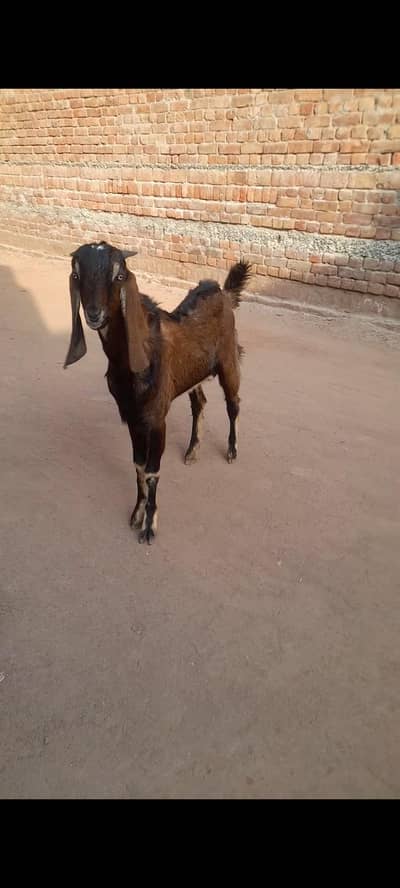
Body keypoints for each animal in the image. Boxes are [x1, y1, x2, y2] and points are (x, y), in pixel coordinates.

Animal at [64, 241, 251, 544]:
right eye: (77, 275)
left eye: (118, 275)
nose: (94, 313)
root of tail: (223, 292)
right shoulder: (132, 416)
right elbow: (138, 466)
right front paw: (136, 514)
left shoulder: (156, 418)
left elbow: (152, 471)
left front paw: (149, 526)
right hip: (192, 375)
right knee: (199, 403)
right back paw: (192, 451)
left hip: (228, 361)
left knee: (233, 403)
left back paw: (232, 450)